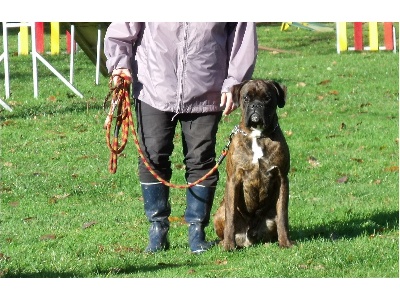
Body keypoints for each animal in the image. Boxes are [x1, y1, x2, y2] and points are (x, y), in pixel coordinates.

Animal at [212, 78, 294, 250]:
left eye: (267, 98)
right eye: (246, 98)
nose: (256, 105)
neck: (257, 135)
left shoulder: (282, 179)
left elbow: (283, 215)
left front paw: (285, 242)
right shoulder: (234, 180)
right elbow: (230, 217)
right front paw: (229, 245)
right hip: (219, 212)